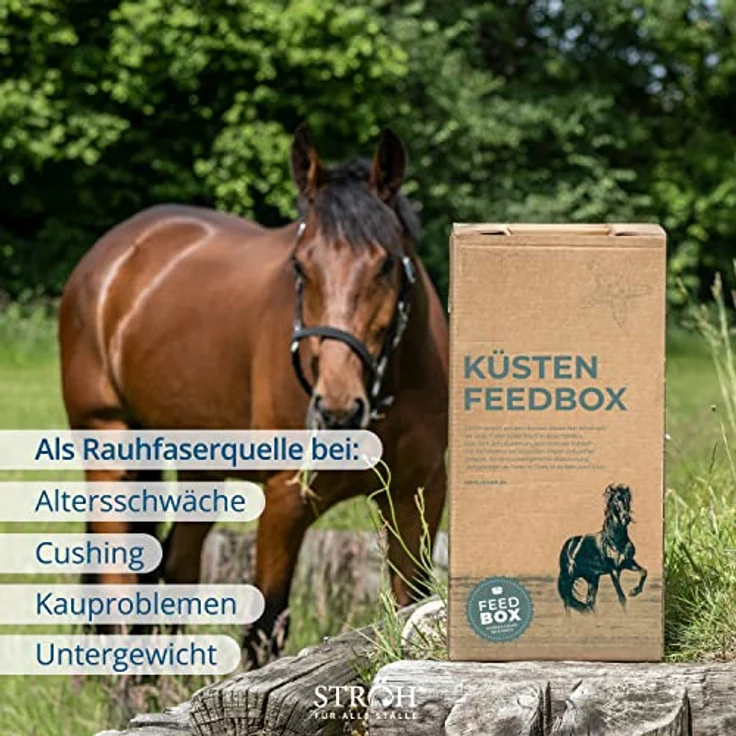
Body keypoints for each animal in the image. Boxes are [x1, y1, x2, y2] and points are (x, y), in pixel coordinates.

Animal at [58, 125, 449, 664]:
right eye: (300, 267)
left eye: (387, 264)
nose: (336, 409)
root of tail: (113, 256)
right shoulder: (286, 499)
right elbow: (266, 629)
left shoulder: (420, 494)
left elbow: (412, 600)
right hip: (108, 443)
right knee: (120, 593)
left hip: (200, 466)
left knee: (175, 575)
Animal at [557, 483, 648, 613]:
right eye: (616, 500)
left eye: (628, 500)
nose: (626, 518)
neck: (616, 540)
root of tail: (567, 545)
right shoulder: (613, 570)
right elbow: (622, 598)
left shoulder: (628, 563)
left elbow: (644, 572)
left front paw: (634, 592)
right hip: (569, 577)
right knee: (568, 600)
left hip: (592, 579)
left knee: (589, 602)